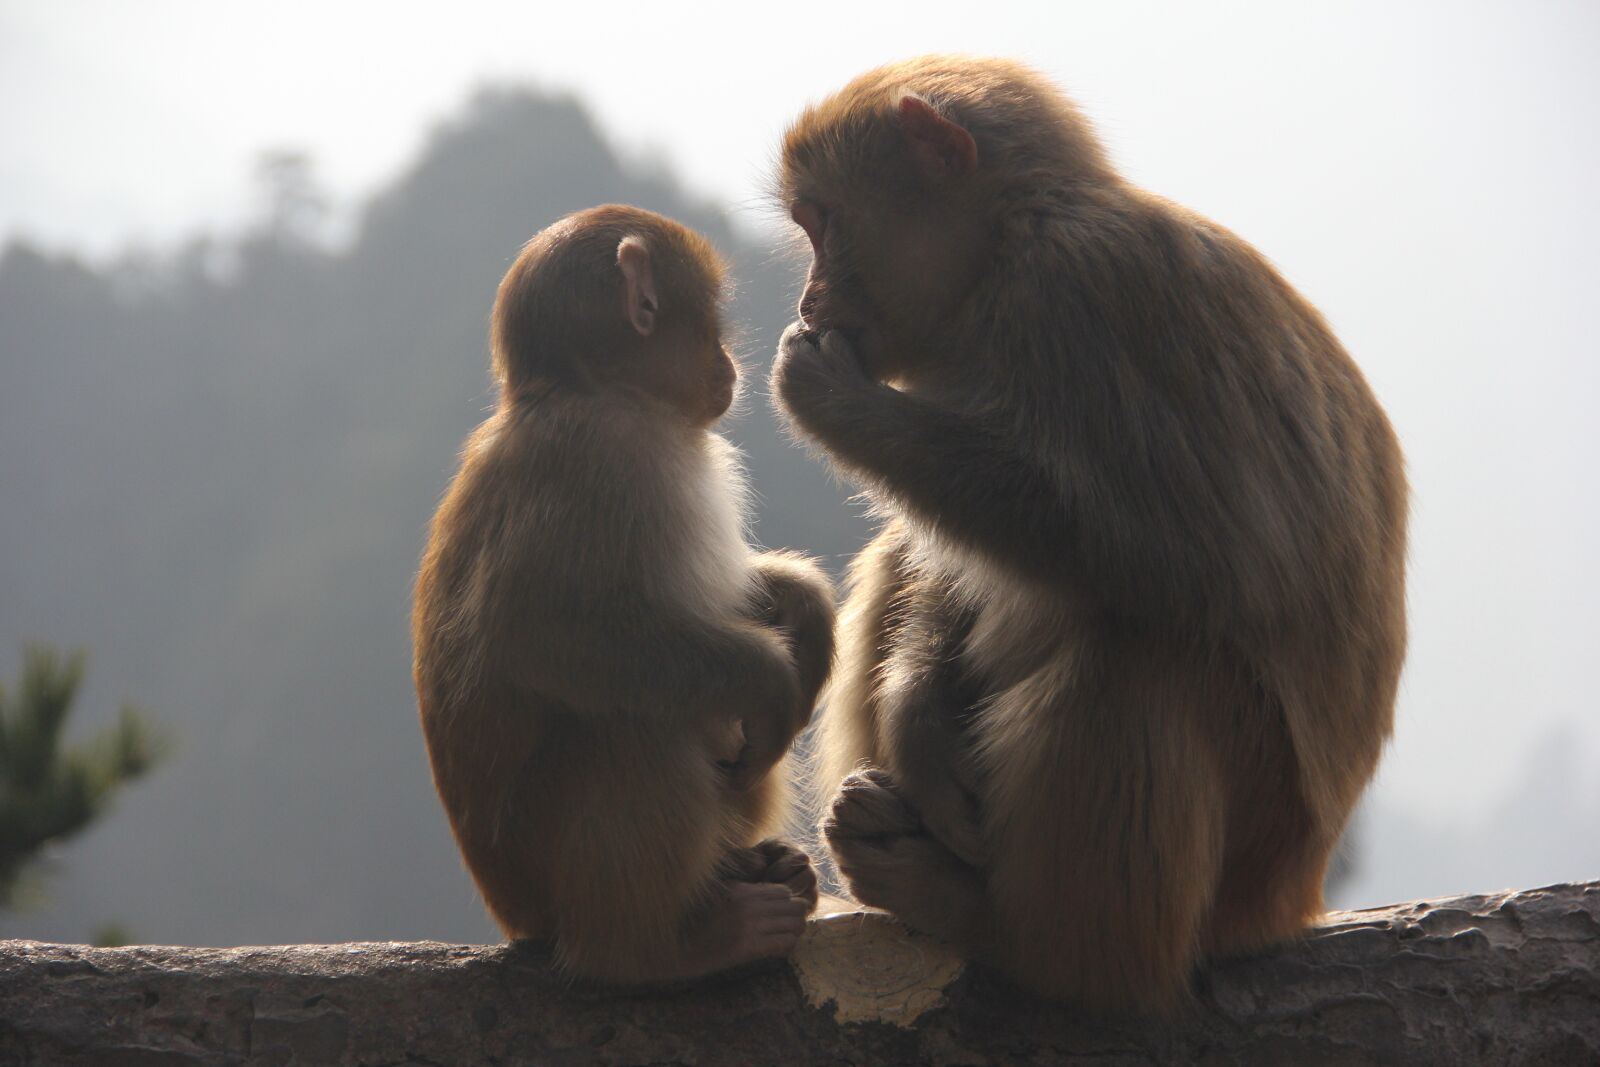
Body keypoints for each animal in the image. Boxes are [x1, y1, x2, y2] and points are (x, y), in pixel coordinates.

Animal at [412, 204, 836, 982]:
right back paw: (656, 949)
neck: (588, 391)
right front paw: (771, 676)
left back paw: (759, 868)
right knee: (633, 726)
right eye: (711, 321)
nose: (730, 365)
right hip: (543, 872)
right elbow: (541, 629)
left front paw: (804, 606)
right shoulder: (599, 458)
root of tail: (515, 918)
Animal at [769, 57, 1408, 1013]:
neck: (1006, 252)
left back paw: (1030, 940)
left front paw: (835, 402)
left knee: (1136, 657)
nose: (809, 296)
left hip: (1255, 851)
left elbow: (1189, 561)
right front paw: (916, 708)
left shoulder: (1078, 293)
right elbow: (943, 563)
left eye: (823, 223)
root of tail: (1295, 896)